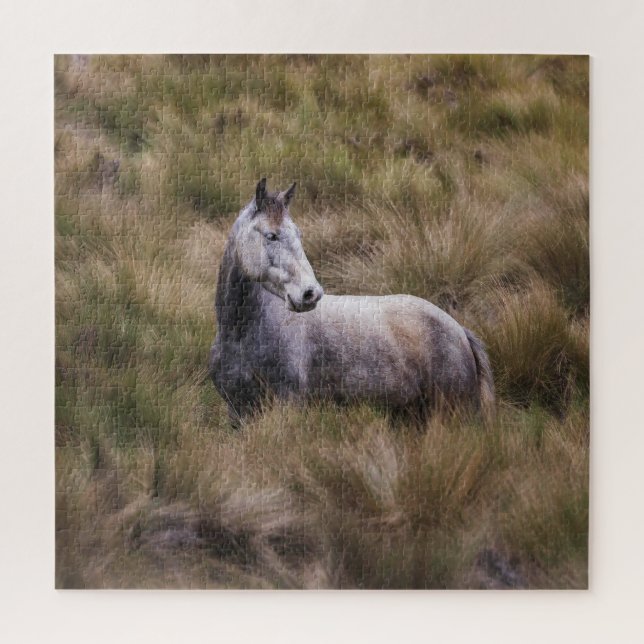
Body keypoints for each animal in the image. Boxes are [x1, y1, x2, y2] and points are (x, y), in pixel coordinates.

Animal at [209, 178, 495, 426]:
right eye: (271, 236)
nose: (310, 293)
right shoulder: (237, 412)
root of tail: (459, 330)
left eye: (298, 234)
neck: (243, 334)